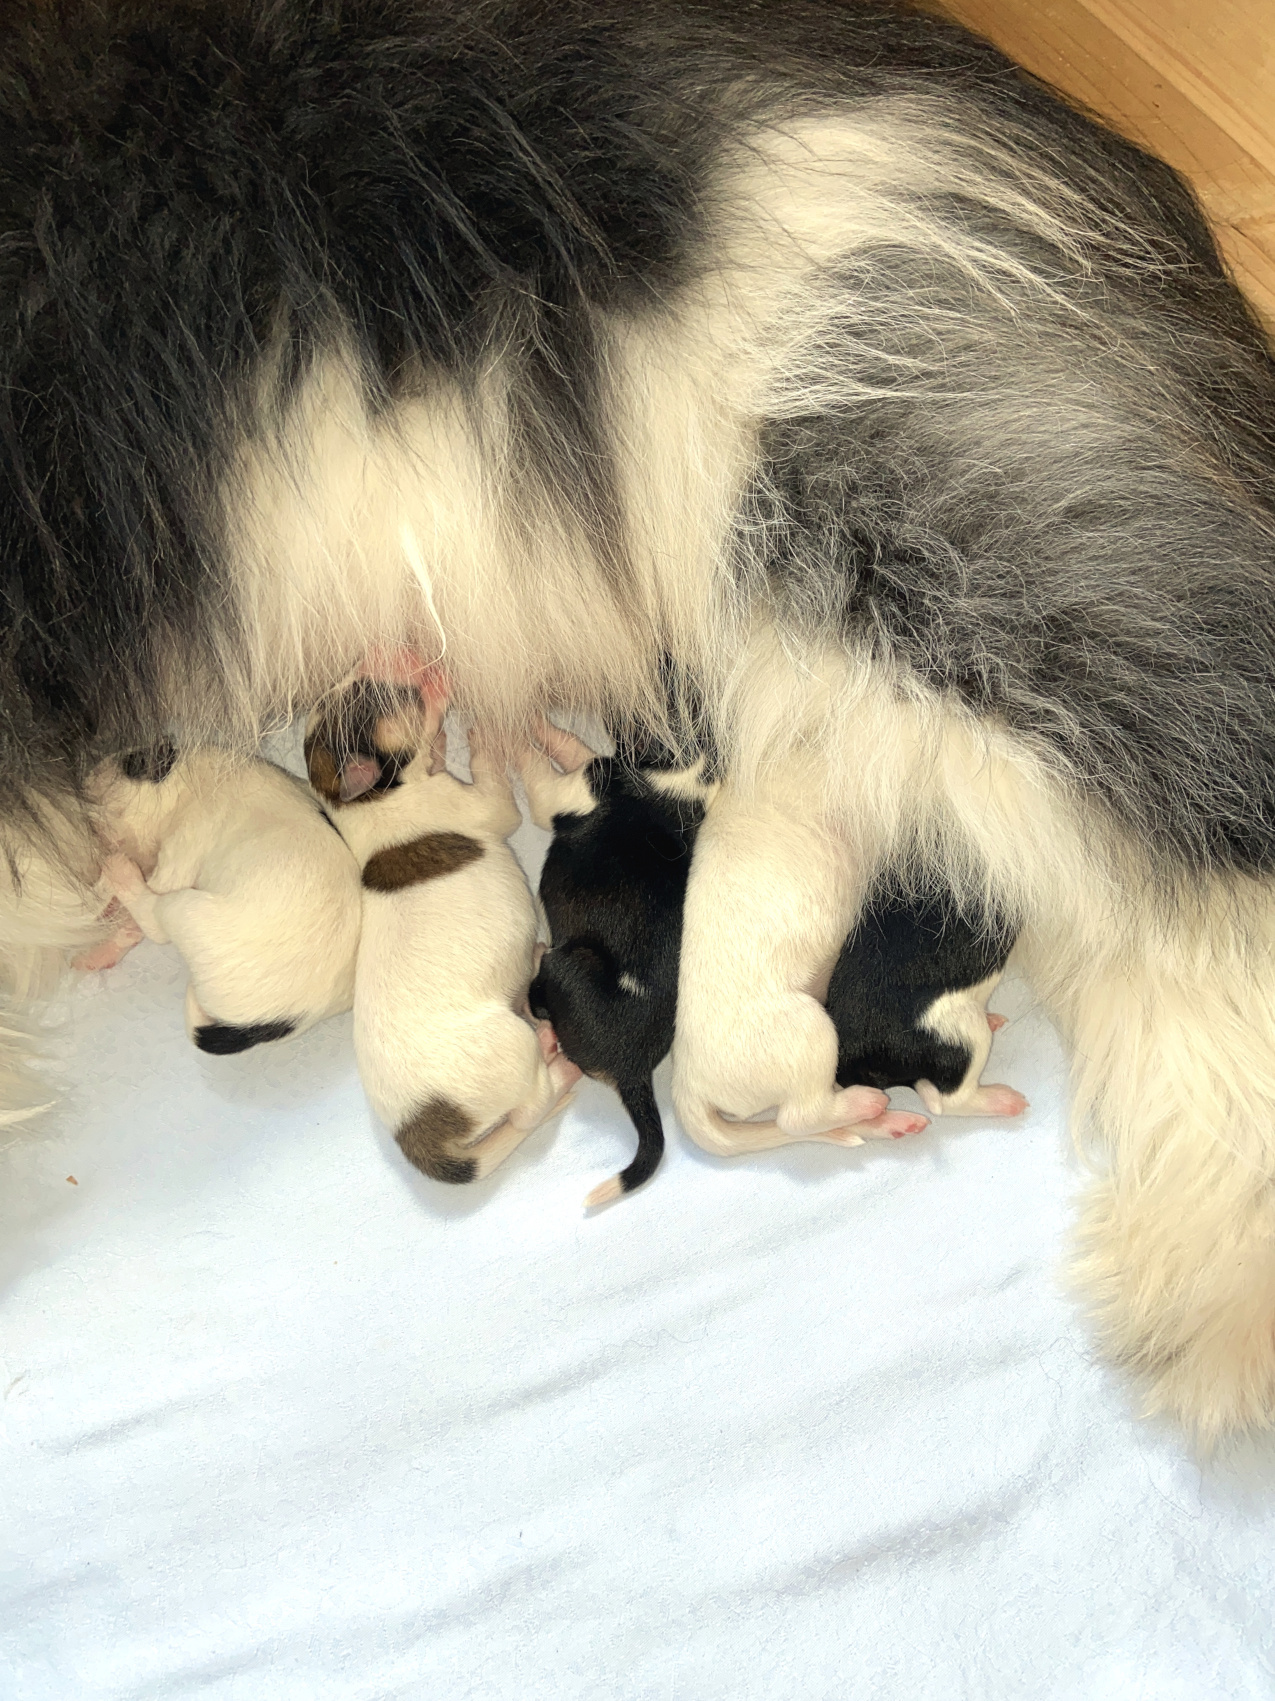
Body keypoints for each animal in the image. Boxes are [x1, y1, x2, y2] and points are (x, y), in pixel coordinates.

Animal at [91, 746, 361, 1052]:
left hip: (183, 908)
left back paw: (119, 873)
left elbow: (149, 886)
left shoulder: (181, 848)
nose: (88, 776)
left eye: (128, 764)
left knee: (154, 922)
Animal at [305, 684, 580, 1185]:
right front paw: (485, 737)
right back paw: (559, 1062)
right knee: (529, 1109)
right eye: (380, 700)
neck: (362, 802)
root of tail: (420, 1134)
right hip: (510, 1047)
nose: (426, 677)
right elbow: (493, 784)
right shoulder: (482, 803)